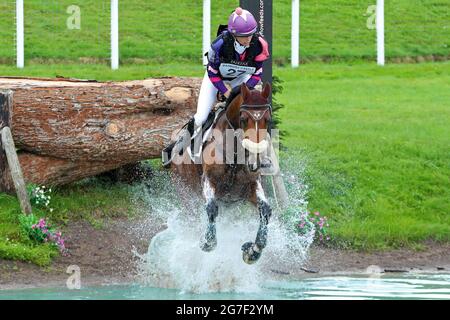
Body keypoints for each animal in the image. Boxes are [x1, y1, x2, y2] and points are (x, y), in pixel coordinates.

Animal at [169, 82, 274, 264]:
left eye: (267, 120)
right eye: (243, 119)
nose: (255, 162)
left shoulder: (250, 185)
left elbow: (265, 210)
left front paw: (253, 251)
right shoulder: (208, 180)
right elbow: (211, 208)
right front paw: (207, 242)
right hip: (185, 191)